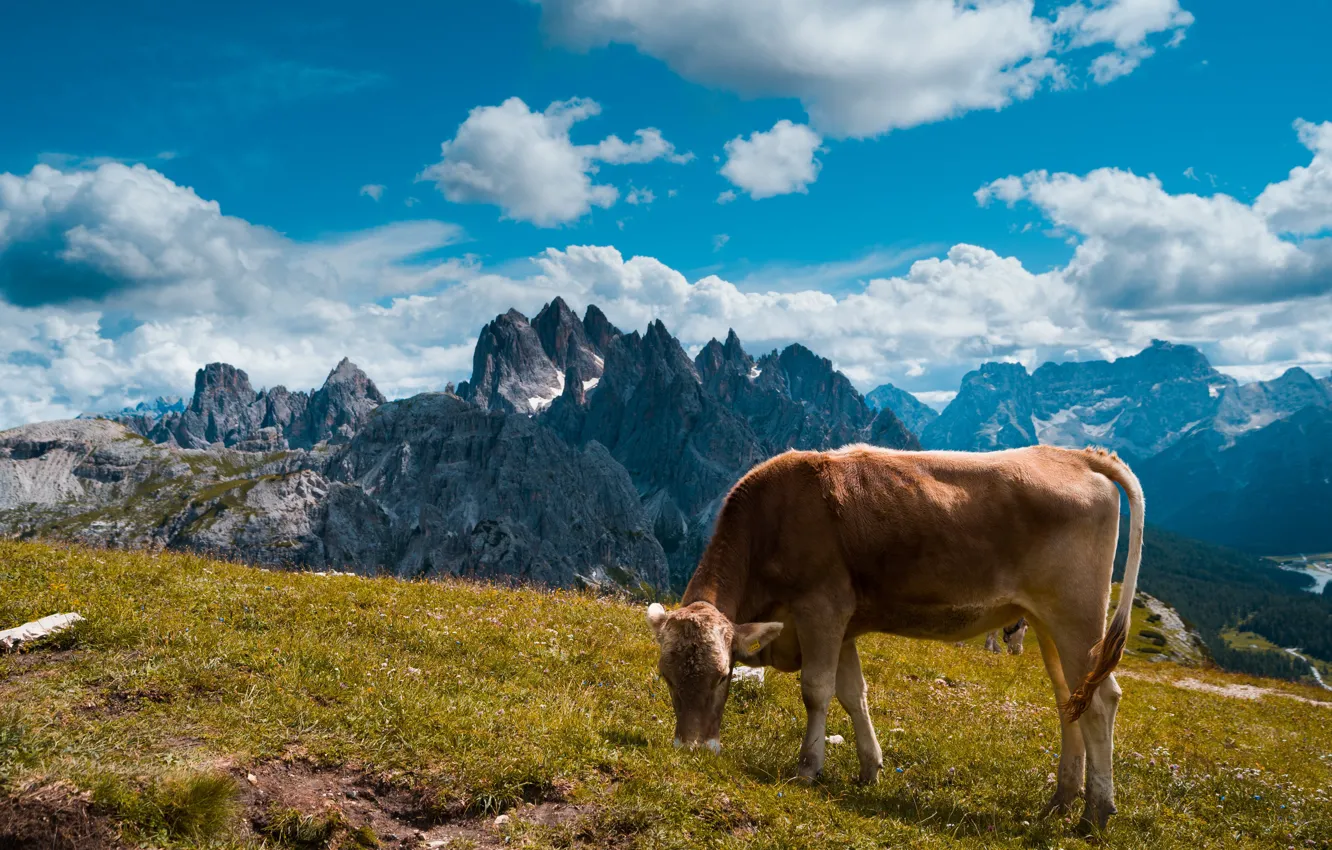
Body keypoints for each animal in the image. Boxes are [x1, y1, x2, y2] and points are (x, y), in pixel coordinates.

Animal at [646, 443, 1143, 830]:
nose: (691, 749)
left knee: (1101, 701)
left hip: (1077, 617)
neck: (772, 522)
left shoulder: (821, 608)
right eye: (667, 679)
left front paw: (808, 768)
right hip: (1046, 622)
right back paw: (1059, 802)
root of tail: (1076, 455)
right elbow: (853, 693)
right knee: (1070, 701)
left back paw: (1095, 813)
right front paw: (870, 768)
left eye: (723, 676)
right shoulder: (841, 625)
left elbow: (816, 690)